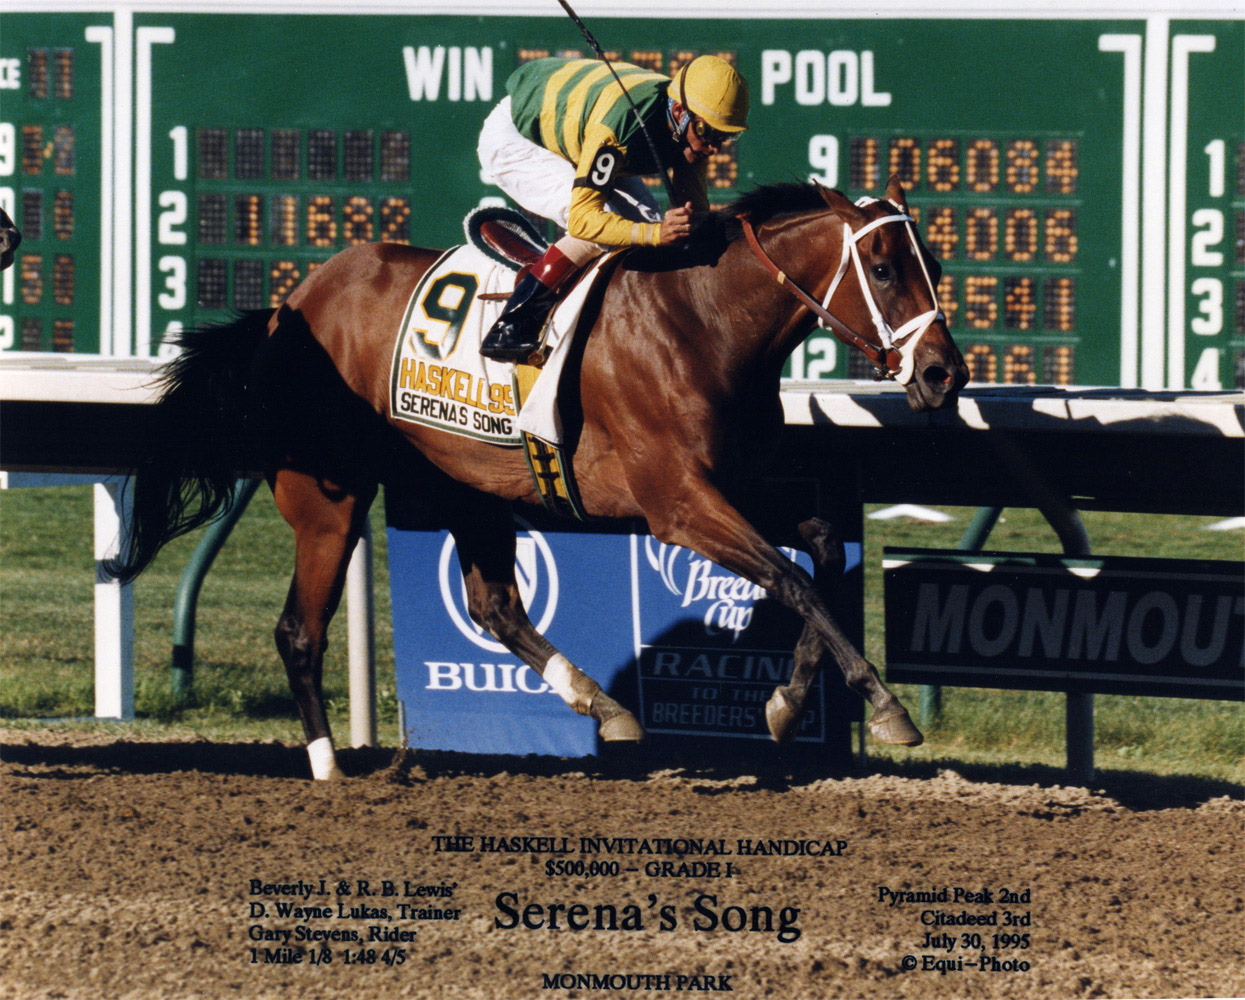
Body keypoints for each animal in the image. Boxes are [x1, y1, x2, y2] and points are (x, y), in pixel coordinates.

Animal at [107, 175, 966, 777]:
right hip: (329, 497)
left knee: (493, 607)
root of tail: (290, 304)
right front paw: (884, 706)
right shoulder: (678, 505)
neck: (704, 322)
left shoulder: (734, 485)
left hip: (467, 487)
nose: (942, 375)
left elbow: (817, 553)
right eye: (883, 269)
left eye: (932, 263)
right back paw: (326, 768)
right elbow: (791, 581)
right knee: (298, 631)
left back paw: (601, 703)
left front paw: (788, 701)